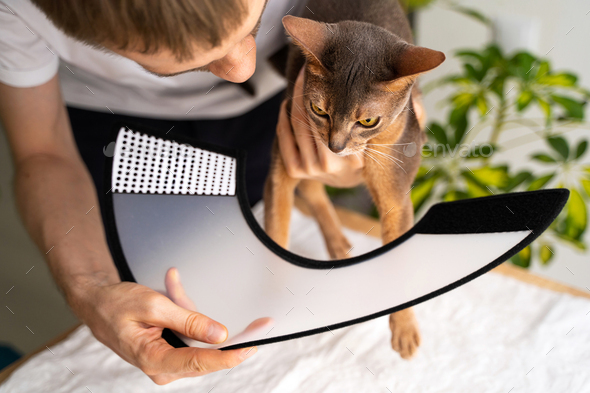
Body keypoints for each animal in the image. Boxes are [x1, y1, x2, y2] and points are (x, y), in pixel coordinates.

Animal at [264, 0, 444, 358]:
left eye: (369, 121)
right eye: (319, 110)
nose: (335, 146)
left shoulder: (396, 195)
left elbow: (398, 262)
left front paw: (404, 329)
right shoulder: (283, 162)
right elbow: (276, 231)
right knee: (311, 187)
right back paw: (336, 243)